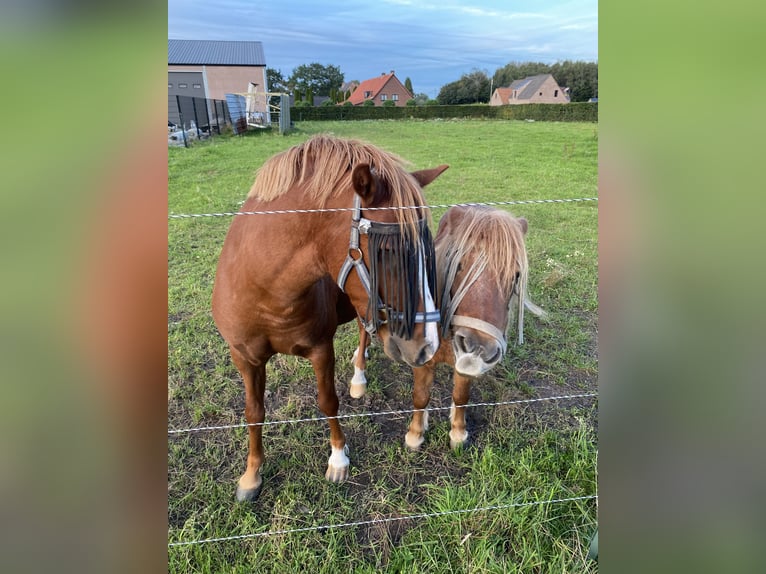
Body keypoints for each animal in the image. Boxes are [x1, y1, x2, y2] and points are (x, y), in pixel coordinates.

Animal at [352, 205, 548, 452]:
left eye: (516, 276)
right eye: (459, 265)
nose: (480, 347)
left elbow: (461, 395)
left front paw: (458, 432)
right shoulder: (422, 359)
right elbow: (421, 396)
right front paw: (415, 435)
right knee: (363, 331)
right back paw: (358, 376)